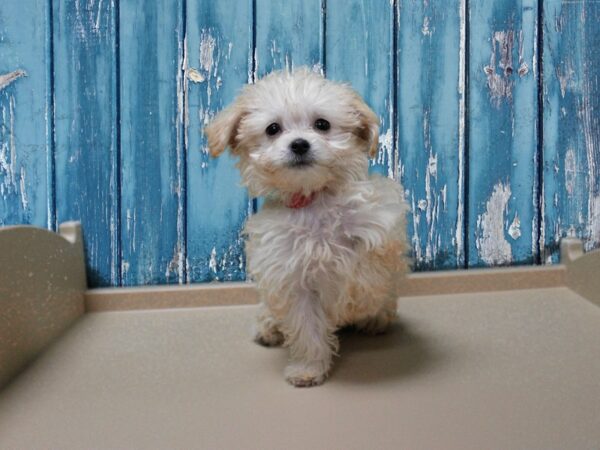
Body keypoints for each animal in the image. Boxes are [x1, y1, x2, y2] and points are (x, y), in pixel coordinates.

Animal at [205, 67, 408, 386]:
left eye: (322, 124)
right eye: (273, 129)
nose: (299, 144)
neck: (312, 200)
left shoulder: (382, 227)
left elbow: (370, 275)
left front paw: (359, 302)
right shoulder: (290, 276)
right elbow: (306, 326)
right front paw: (309, 368)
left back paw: (376, 318)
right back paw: (269, 326)